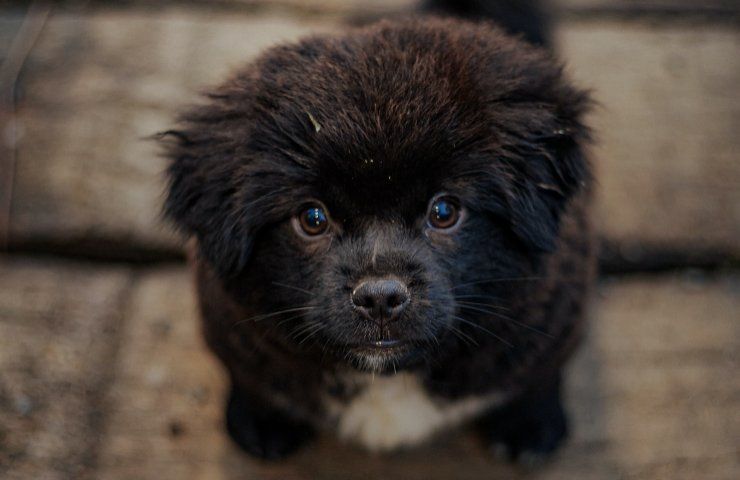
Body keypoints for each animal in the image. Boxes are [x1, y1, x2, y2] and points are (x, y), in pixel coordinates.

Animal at [160, 0, 596, 464]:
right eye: (312, 219)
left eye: (444, 211)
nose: (380, 298)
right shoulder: (228, 325)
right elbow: (251, 379)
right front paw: (260, 422)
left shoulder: (554, 317)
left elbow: (537, 379)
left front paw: (529, 427)